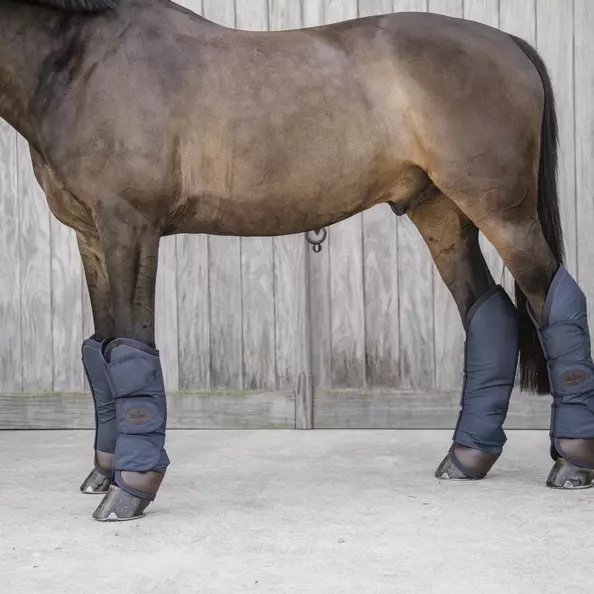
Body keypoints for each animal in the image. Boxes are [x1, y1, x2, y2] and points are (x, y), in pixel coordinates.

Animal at [2, 0, 588, 520]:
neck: (83, 62)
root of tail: (506, 42)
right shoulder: (91, 237)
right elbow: (102, 350)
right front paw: (105, 472)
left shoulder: (131, 227)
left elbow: (130, 346)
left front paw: (130, 489)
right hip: (440, 212)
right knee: (487, 311)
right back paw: (467, 458)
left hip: (503, 214)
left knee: (553, 298)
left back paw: (572, 465)